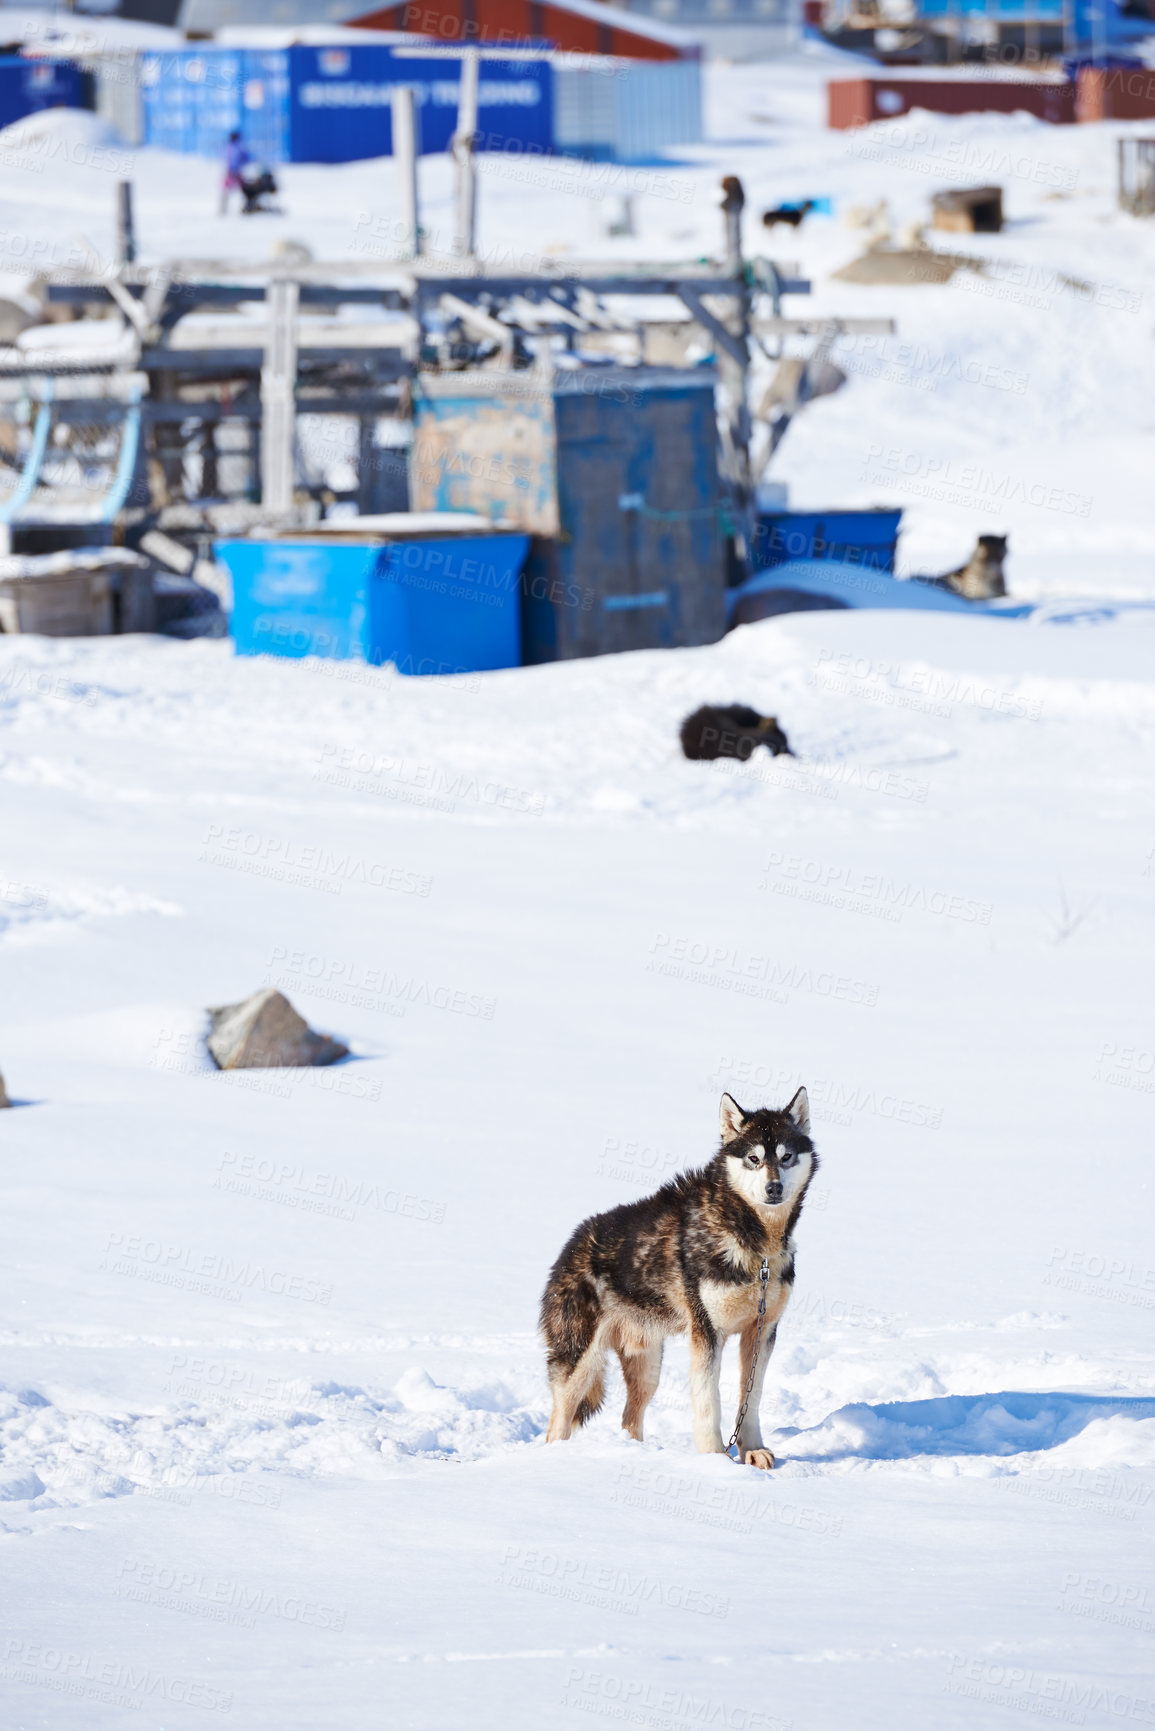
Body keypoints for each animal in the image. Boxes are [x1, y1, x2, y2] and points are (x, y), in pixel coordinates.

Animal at [543, 1087, 813, 1467]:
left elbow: (752, 1397)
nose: (773, 1188)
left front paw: (752, 1450)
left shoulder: (762, 1331)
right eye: (753, 1158)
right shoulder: (707, 1333)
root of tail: (570, 1246)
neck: (753, 1240)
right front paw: (715, 1459)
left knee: (630, 1417)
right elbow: (709, 1403)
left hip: (647, 1366)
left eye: (786, 1156)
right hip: (581, 1361)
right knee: (559, 1421)